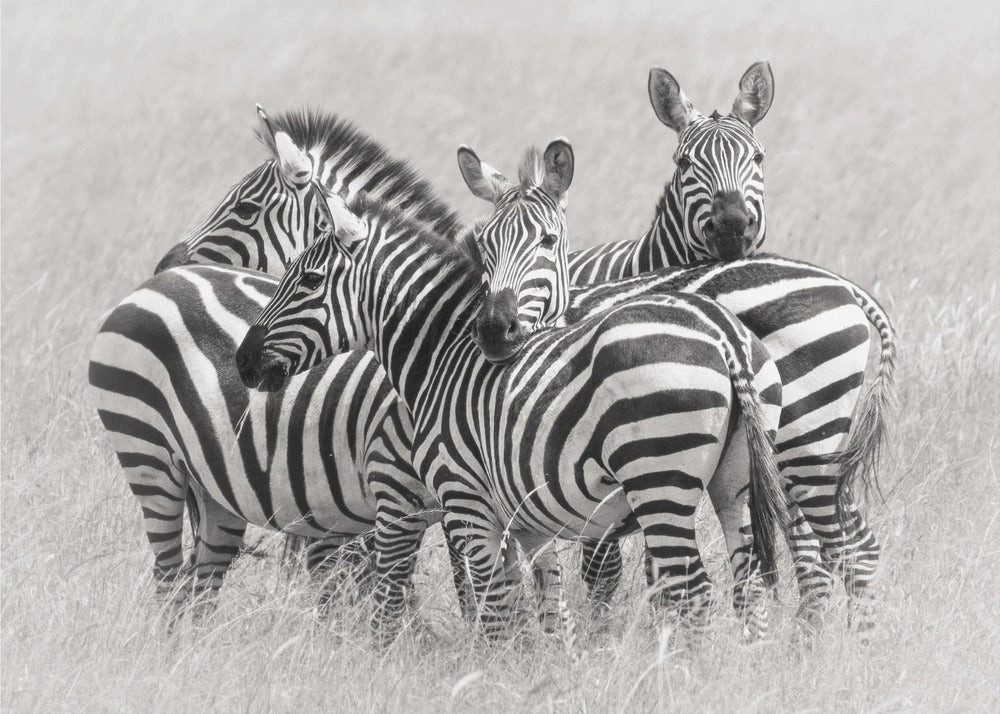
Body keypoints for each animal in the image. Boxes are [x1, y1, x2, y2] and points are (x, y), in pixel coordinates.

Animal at [235, 187, 788, 642]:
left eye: (308, 280)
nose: (242, 361)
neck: (442, 357)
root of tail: (724, 334)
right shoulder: (526, 519)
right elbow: (545, 611)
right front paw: (549, 675)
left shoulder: (466, 502)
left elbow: (496, 611)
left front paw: (493, 676)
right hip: (735, 485)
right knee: (749, 587)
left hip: (659, 480)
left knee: (693, 593)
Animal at [455, 130, 896, 631]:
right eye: (483, 247)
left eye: (548, 242)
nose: (495, 330)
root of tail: (844, 286)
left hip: (807, 443)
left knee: (846, 549)